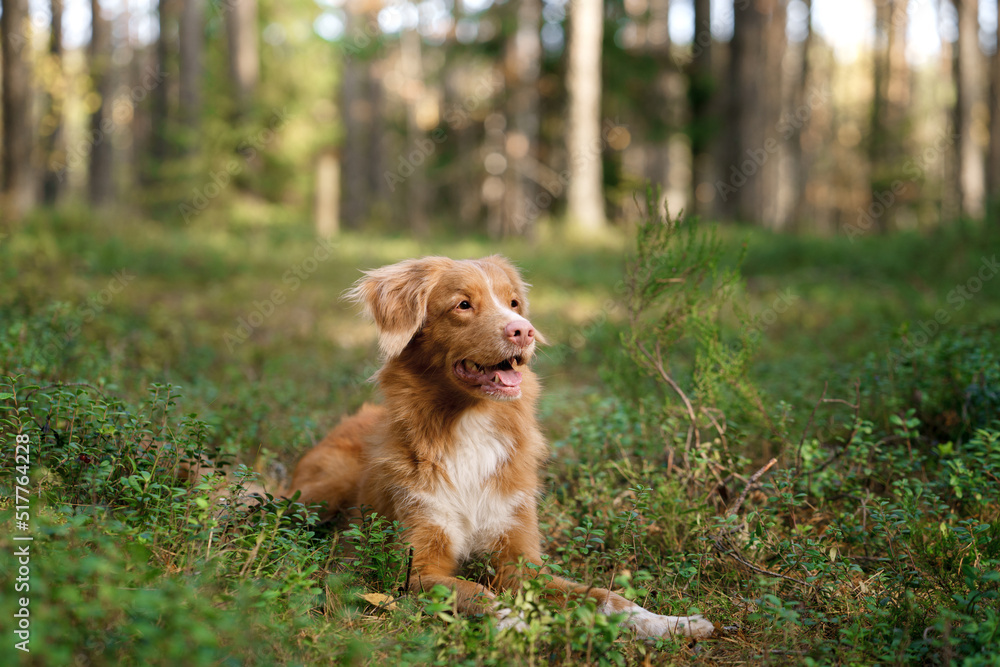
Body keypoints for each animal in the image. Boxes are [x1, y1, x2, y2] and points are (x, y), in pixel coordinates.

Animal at [286, 258, 716, 640]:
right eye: (463, 305)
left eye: (513, 303)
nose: (524, 331)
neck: (468, 425)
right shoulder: (415, 568)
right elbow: (477, 591)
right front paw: (515, 622)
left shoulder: (519, 559)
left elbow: (604, 595)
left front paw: (670, 623)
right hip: (317, 496)